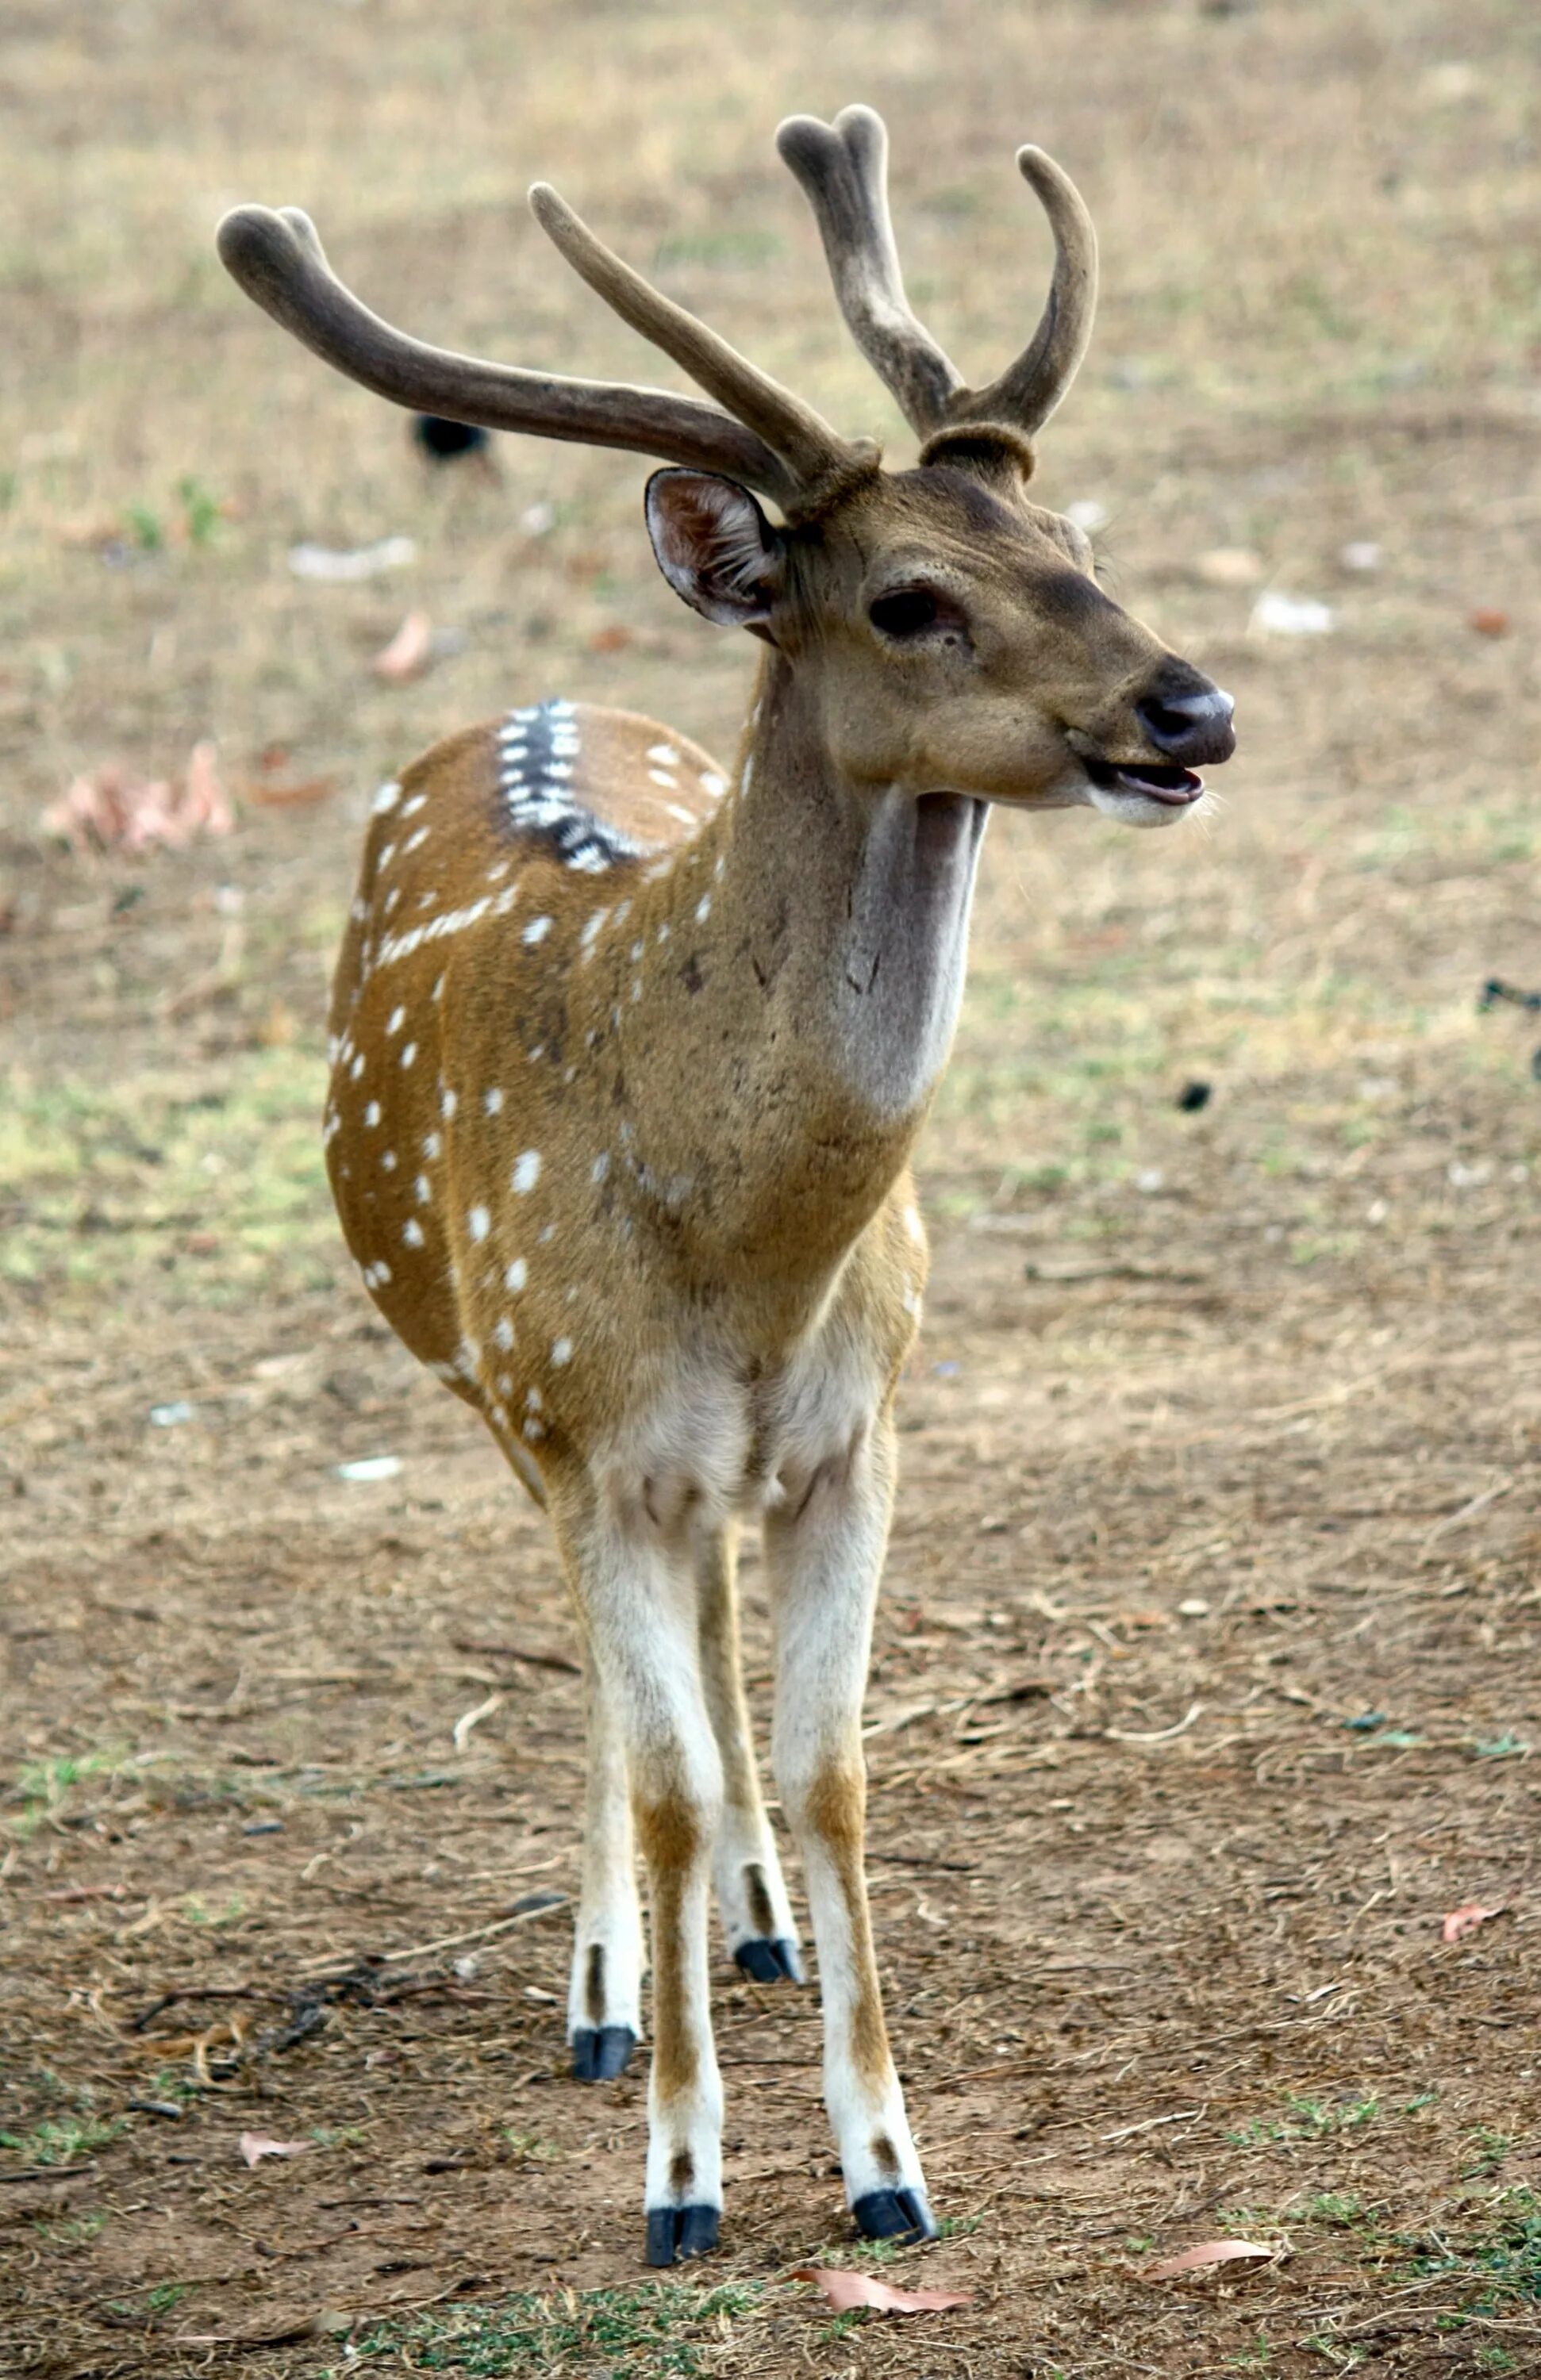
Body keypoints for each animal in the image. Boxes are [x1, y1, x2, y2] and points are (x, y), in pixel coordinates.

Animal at [217, 112, 1238, 2266]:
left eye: (1080, 547)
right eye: (910, 600)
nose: (1187, 710)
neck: (751, 1249)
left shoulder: (862, 1430)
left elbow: (834, 1763)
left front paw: (884, 2163)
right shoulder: (582, 1421)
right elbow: (667, 1767)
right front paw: (682, 2179)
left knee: (702, 1640)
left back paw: (754, 1933)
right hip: (490, 1384)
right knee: (624, 1692)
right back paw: (612, 1993)